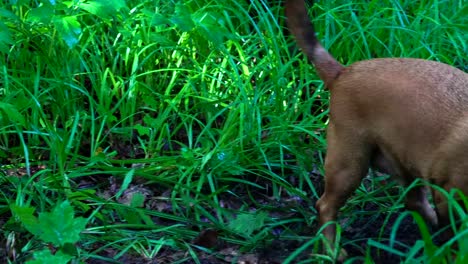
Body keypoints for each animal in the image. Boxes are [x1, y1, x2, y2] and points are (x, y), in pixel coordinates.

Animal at [284, 0, 468, 258]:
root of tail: (342, 72)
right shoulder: (449, 197)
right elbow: (454, 241)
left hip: (405, 160)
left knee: (414, 201)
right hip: (349, 165)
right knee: (325, 205)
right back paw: (333, 251)